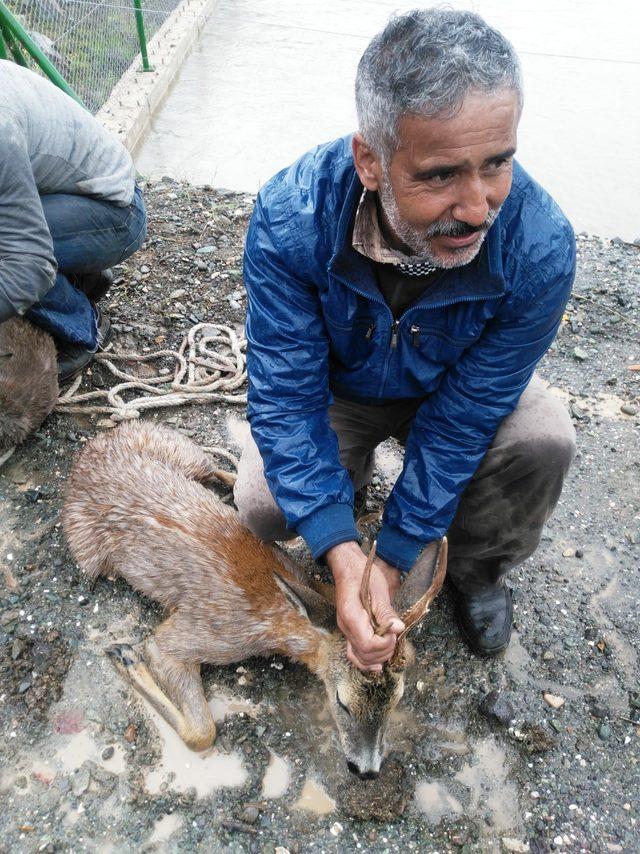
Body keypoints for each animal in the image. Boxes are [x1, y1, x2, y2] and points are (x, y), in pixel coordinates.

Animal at [62, 422, 448, 784]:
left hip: (181, 451)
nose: (367, 771)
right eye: (342, 701)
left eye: (397, 699)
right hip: (89, 551)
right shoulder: (190, 635)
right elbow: (202, 733)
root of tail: (88, 453)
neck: (279, 621)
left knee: (218, 472)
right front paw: (125, 656)